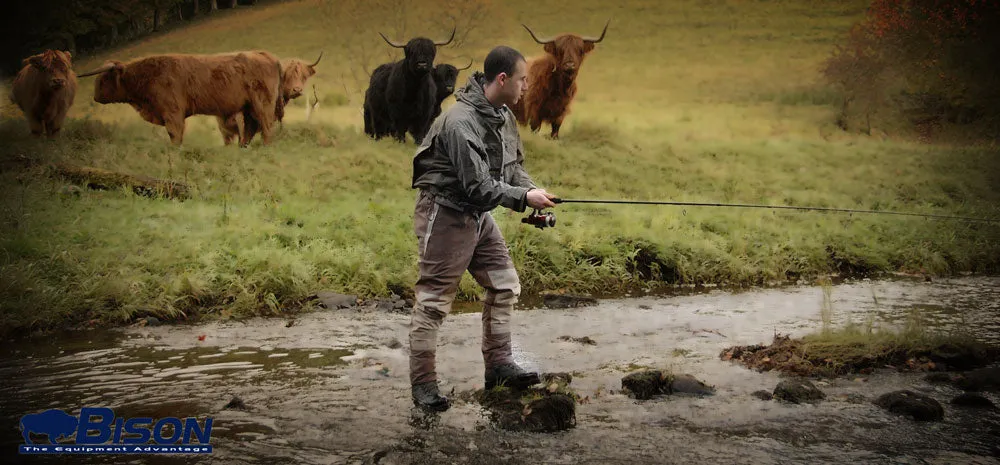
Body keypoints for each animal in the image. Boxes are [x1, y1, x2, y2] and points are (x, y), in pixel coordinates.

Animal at [75, 50, 282, 145]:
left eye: (103, 80)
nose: (95, 97)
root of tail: (263, 54)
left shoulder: (172, 113)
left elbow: (175, 135)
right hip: (248, 107)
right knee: (250, 128)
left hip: (262, 103)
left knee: (266, 126)